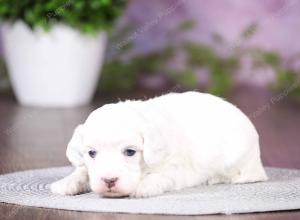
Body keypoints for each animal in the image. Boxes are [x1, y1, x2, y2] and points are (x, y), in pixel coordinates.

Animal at [51, 91, 268, 198]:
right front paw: (67, 182)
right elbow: (82, 171)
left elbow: (161, 176)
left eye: (130, 152)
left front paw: (143, 186)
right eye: (92, 153)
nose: (109, 180)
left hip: (239, 160)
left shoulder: (180, 170)